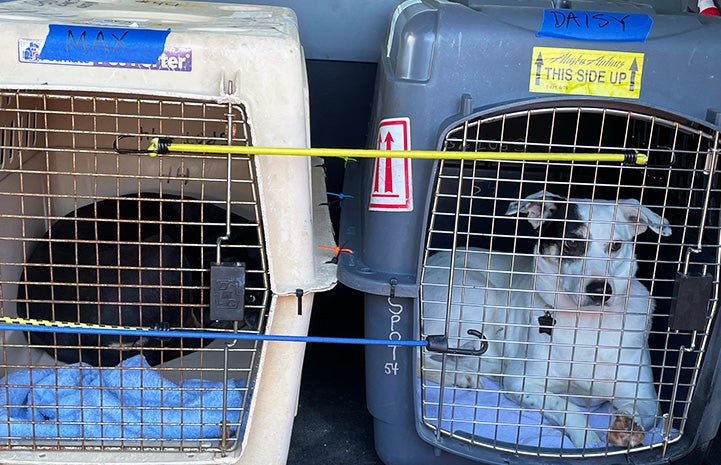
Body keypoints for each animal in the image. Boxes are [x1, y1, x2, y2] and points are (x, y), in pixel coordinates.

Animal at [422, 190, 668, 448]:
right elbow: (568, 408)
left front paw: (627, 427)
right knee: (423, 352)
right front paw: (587, 442)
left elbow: (639, 412)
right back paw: (458, 375)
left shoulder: (647, 399)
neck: (588, 324)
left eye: (616, 245)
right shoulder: (520, 382)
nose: (601, 290)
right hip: (478, 294)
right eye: (571, 242)